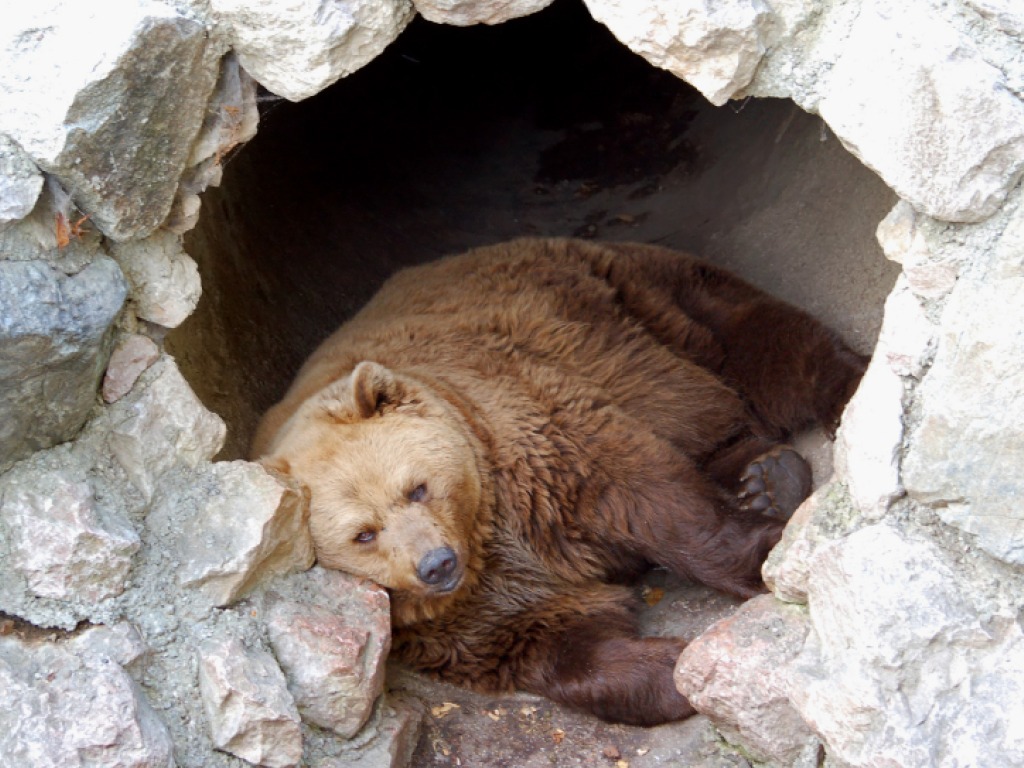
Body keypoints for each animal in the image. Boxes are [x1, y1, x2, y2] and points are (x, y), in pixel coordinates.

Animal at [251, 236, 868, 729]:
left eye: (416, 488)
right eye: (364, 534)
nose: (436, 564)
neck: (484, 532)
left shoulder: (535, 443)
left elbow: (652, 498)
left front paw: (761, 557)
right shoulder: (458, 618)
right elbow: (553, 639)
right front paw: (668, 668)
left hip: (634, 304)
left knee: (760, 344)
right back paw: (766, 476)